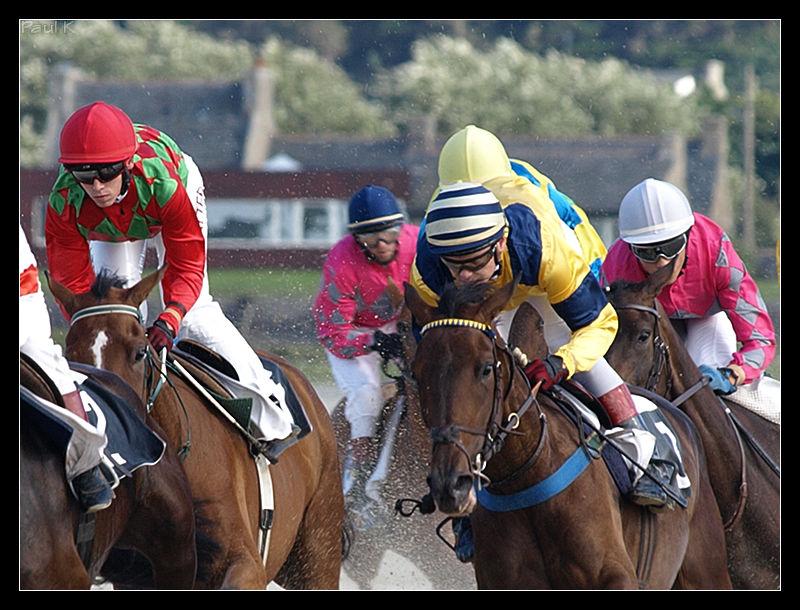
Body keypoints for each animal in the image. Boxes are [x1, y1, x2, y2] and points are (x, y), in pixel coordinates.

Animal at [406, 278, 732, 588]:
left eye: (486, 368)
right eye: (417, 373)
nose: (450, 484)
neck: (528, 472)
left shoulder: (615, 575)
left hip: (707, 568)